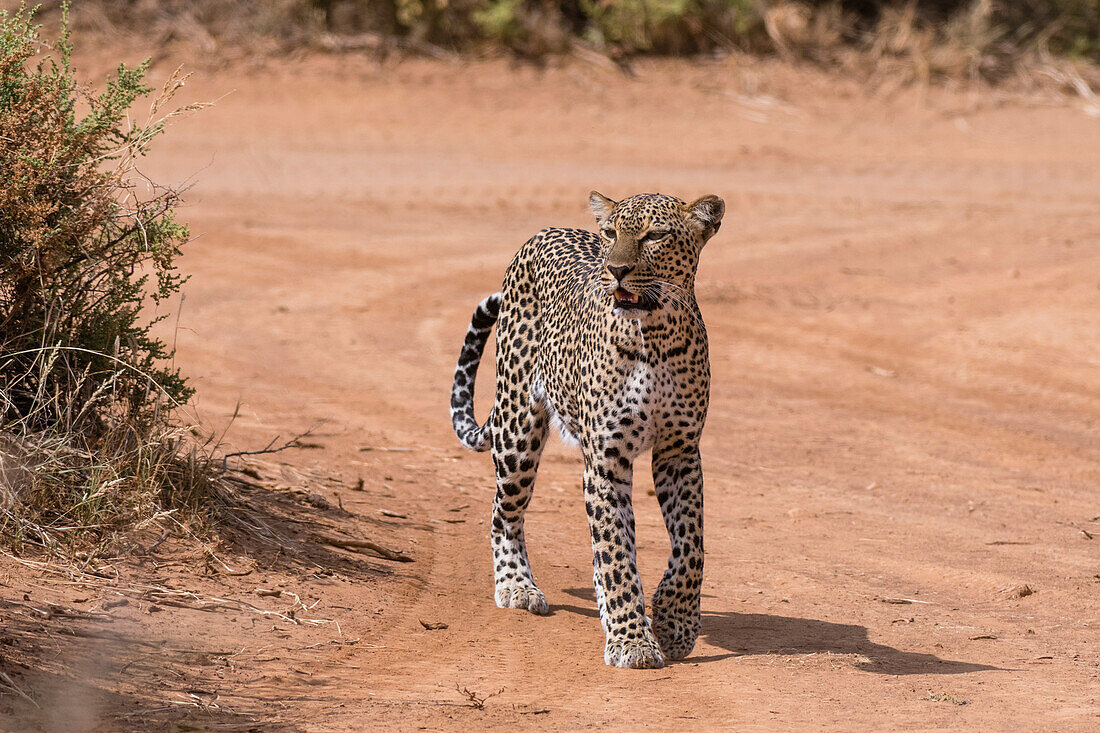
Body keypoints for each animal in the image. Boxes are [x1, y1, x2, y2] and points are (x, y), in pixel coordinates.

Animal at [446, 189, 721, 669]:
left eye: (655, 236)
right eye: (611, 233)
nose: (616, 269)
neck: (654, 336)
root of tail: (545, 230)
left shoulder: (680, 451)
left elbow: (691, 546)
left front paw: (674, 621)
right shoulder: (606, 460)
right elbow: (615, 553)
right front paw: (632, 641)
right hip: (517, 430)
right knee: (503, 512)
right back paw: (516, 586)